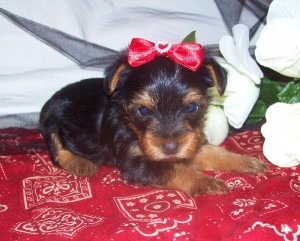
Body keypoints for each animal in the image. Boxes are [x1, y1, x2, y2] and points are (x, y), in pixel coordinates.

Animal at [39, 38, 268, 196]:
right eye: (143, 111)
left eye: (191, 107)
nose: (170, 147)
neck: (129, 124)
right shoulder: (136, 163)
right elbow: (173, 169)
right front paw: (206, 182)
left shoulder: (190, 143)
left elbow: (212, 152)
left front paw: (245, 161)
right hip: (51, 119)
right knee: (56, 147)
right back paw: (78, 163)